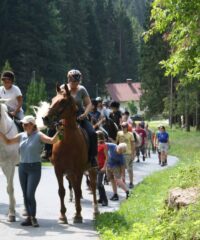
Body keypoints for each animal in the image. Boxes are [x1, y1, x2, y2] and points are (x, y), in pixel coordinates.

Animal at [43, 84, 99, 223]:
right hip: (70, 173)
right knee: (73, 186)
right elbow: (61, 191)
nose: (45, 118)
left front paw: (78, 215)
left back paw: (95, 211)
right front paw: (63, 216)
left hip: (90, 169)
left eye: (63, 101)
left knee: (93, 186)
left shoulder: (78, 170)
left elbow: (78, 191)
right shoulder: (58, 169)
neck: (68, 140)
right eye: (52, 99)